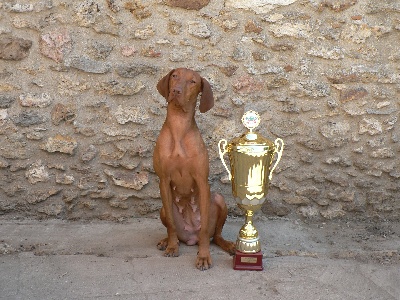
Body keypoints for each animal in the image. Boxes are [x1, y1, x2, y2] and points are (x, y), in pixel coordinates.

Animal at [152, 68, 234, 270]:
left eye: (193, 82)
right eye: (175, 76)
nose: (176, 91)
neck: (179, 125)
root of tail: (190, 238)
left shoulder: (202, 181)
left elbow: (204, 230)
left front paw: (203, 256)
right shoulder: (163, 180)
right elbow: (171, 225)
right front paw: (172, 247)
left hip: (219, 200)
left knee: (215, 236)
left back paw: (227, 244)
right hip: (163, 208)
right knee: (172, 227)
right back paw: (167, 241)